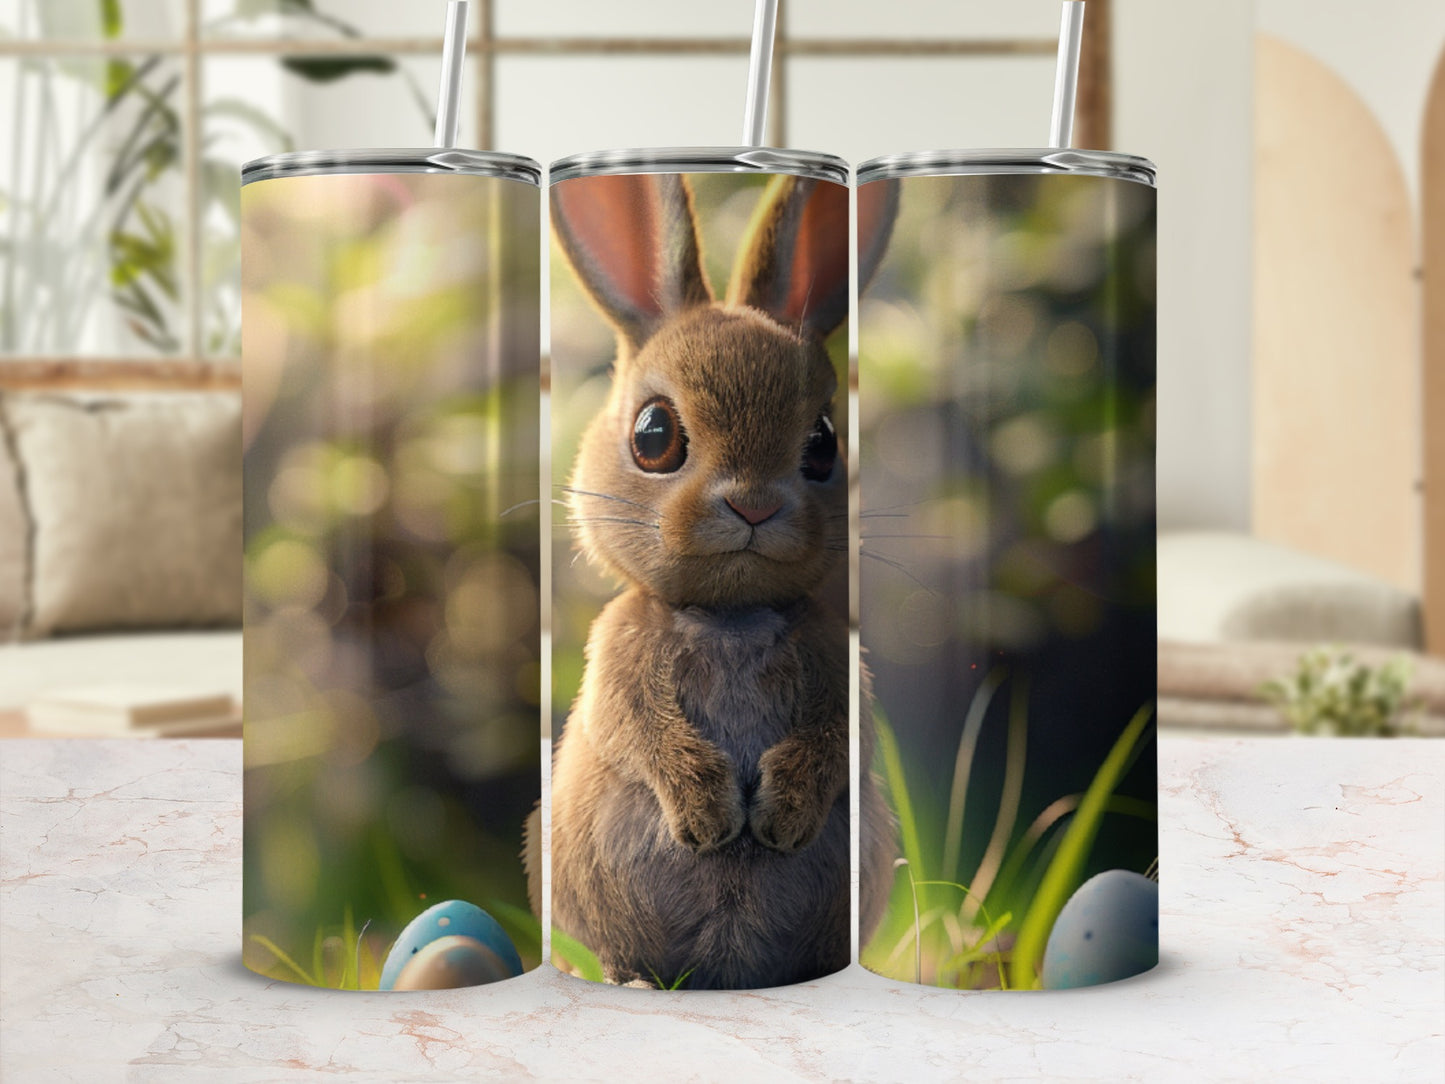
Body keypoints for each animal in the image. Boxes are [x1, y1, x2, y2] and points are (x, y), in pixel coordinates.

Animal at [535, 170, 899, 989]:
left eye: (823, 443)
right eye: (653, 436)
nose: (753, 505)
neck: (730, 616)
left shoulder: (837, 666)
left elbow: (834, 735)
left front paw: (780, 818)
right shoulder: (620, 663)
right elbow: (643, 731)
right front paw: (710, 819)